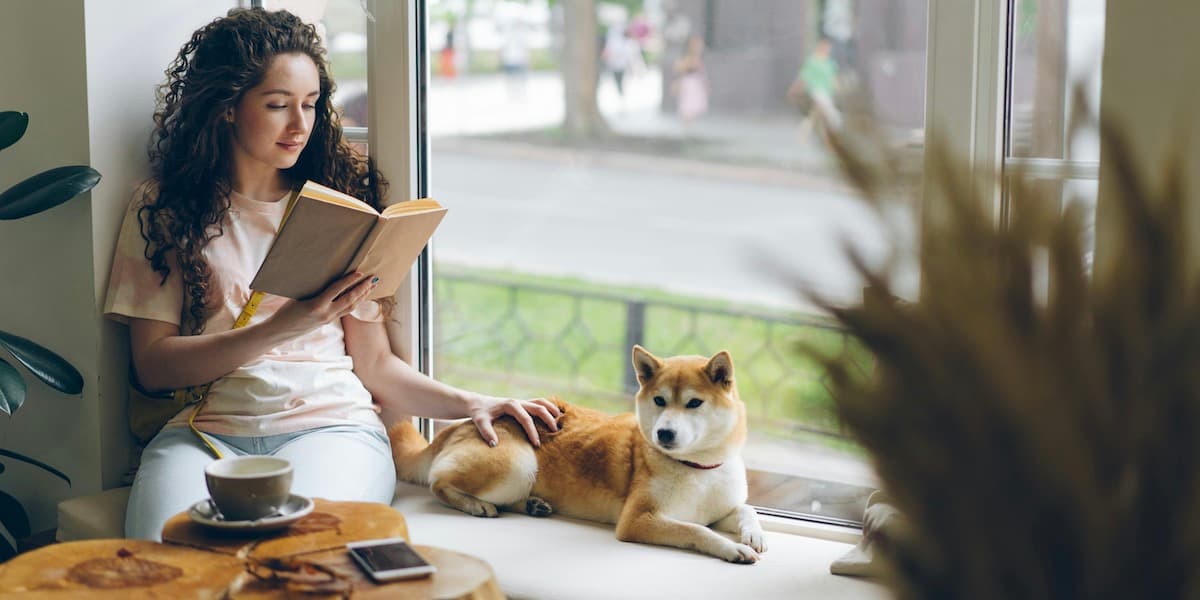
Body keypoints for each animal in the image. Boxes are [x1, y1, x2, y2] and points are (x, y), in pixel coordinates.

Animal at [393, 345, 768, 564]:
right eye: (660, 400)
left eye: (694, 403)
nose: (664, 433)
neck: (699, 467)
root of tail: (462, 424)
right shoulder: (638, 520)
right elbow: (696, 531)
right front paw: (732, 548)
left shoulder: (721, 508)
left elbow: (745, 509)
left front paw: (754, 534)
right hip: (518, 465)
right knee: (438, 483)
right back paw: (475, 504)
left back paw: (533, 505)